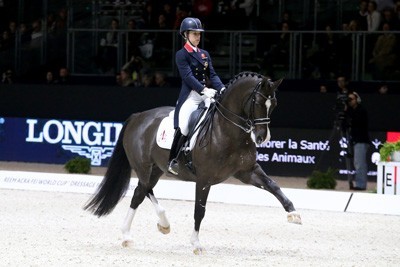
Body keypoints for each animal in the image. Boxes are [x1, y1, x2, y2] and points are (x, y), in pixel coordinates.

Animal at [85, 71, 304, 255]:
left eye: (273, 104)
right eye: (257, 102)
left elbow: (273, 185)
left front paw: (293, 213)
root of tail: (138, 116)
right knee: (142, 191)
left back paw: (150, 229)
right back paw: (137, 232)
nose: (262, 138)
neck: (227, 130)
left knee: (141, 191)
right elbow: (199, 210)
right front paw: (196, 244)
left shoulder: (247, 171)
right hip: (144, 167)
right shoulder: (204, 179)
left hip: (156, 169)